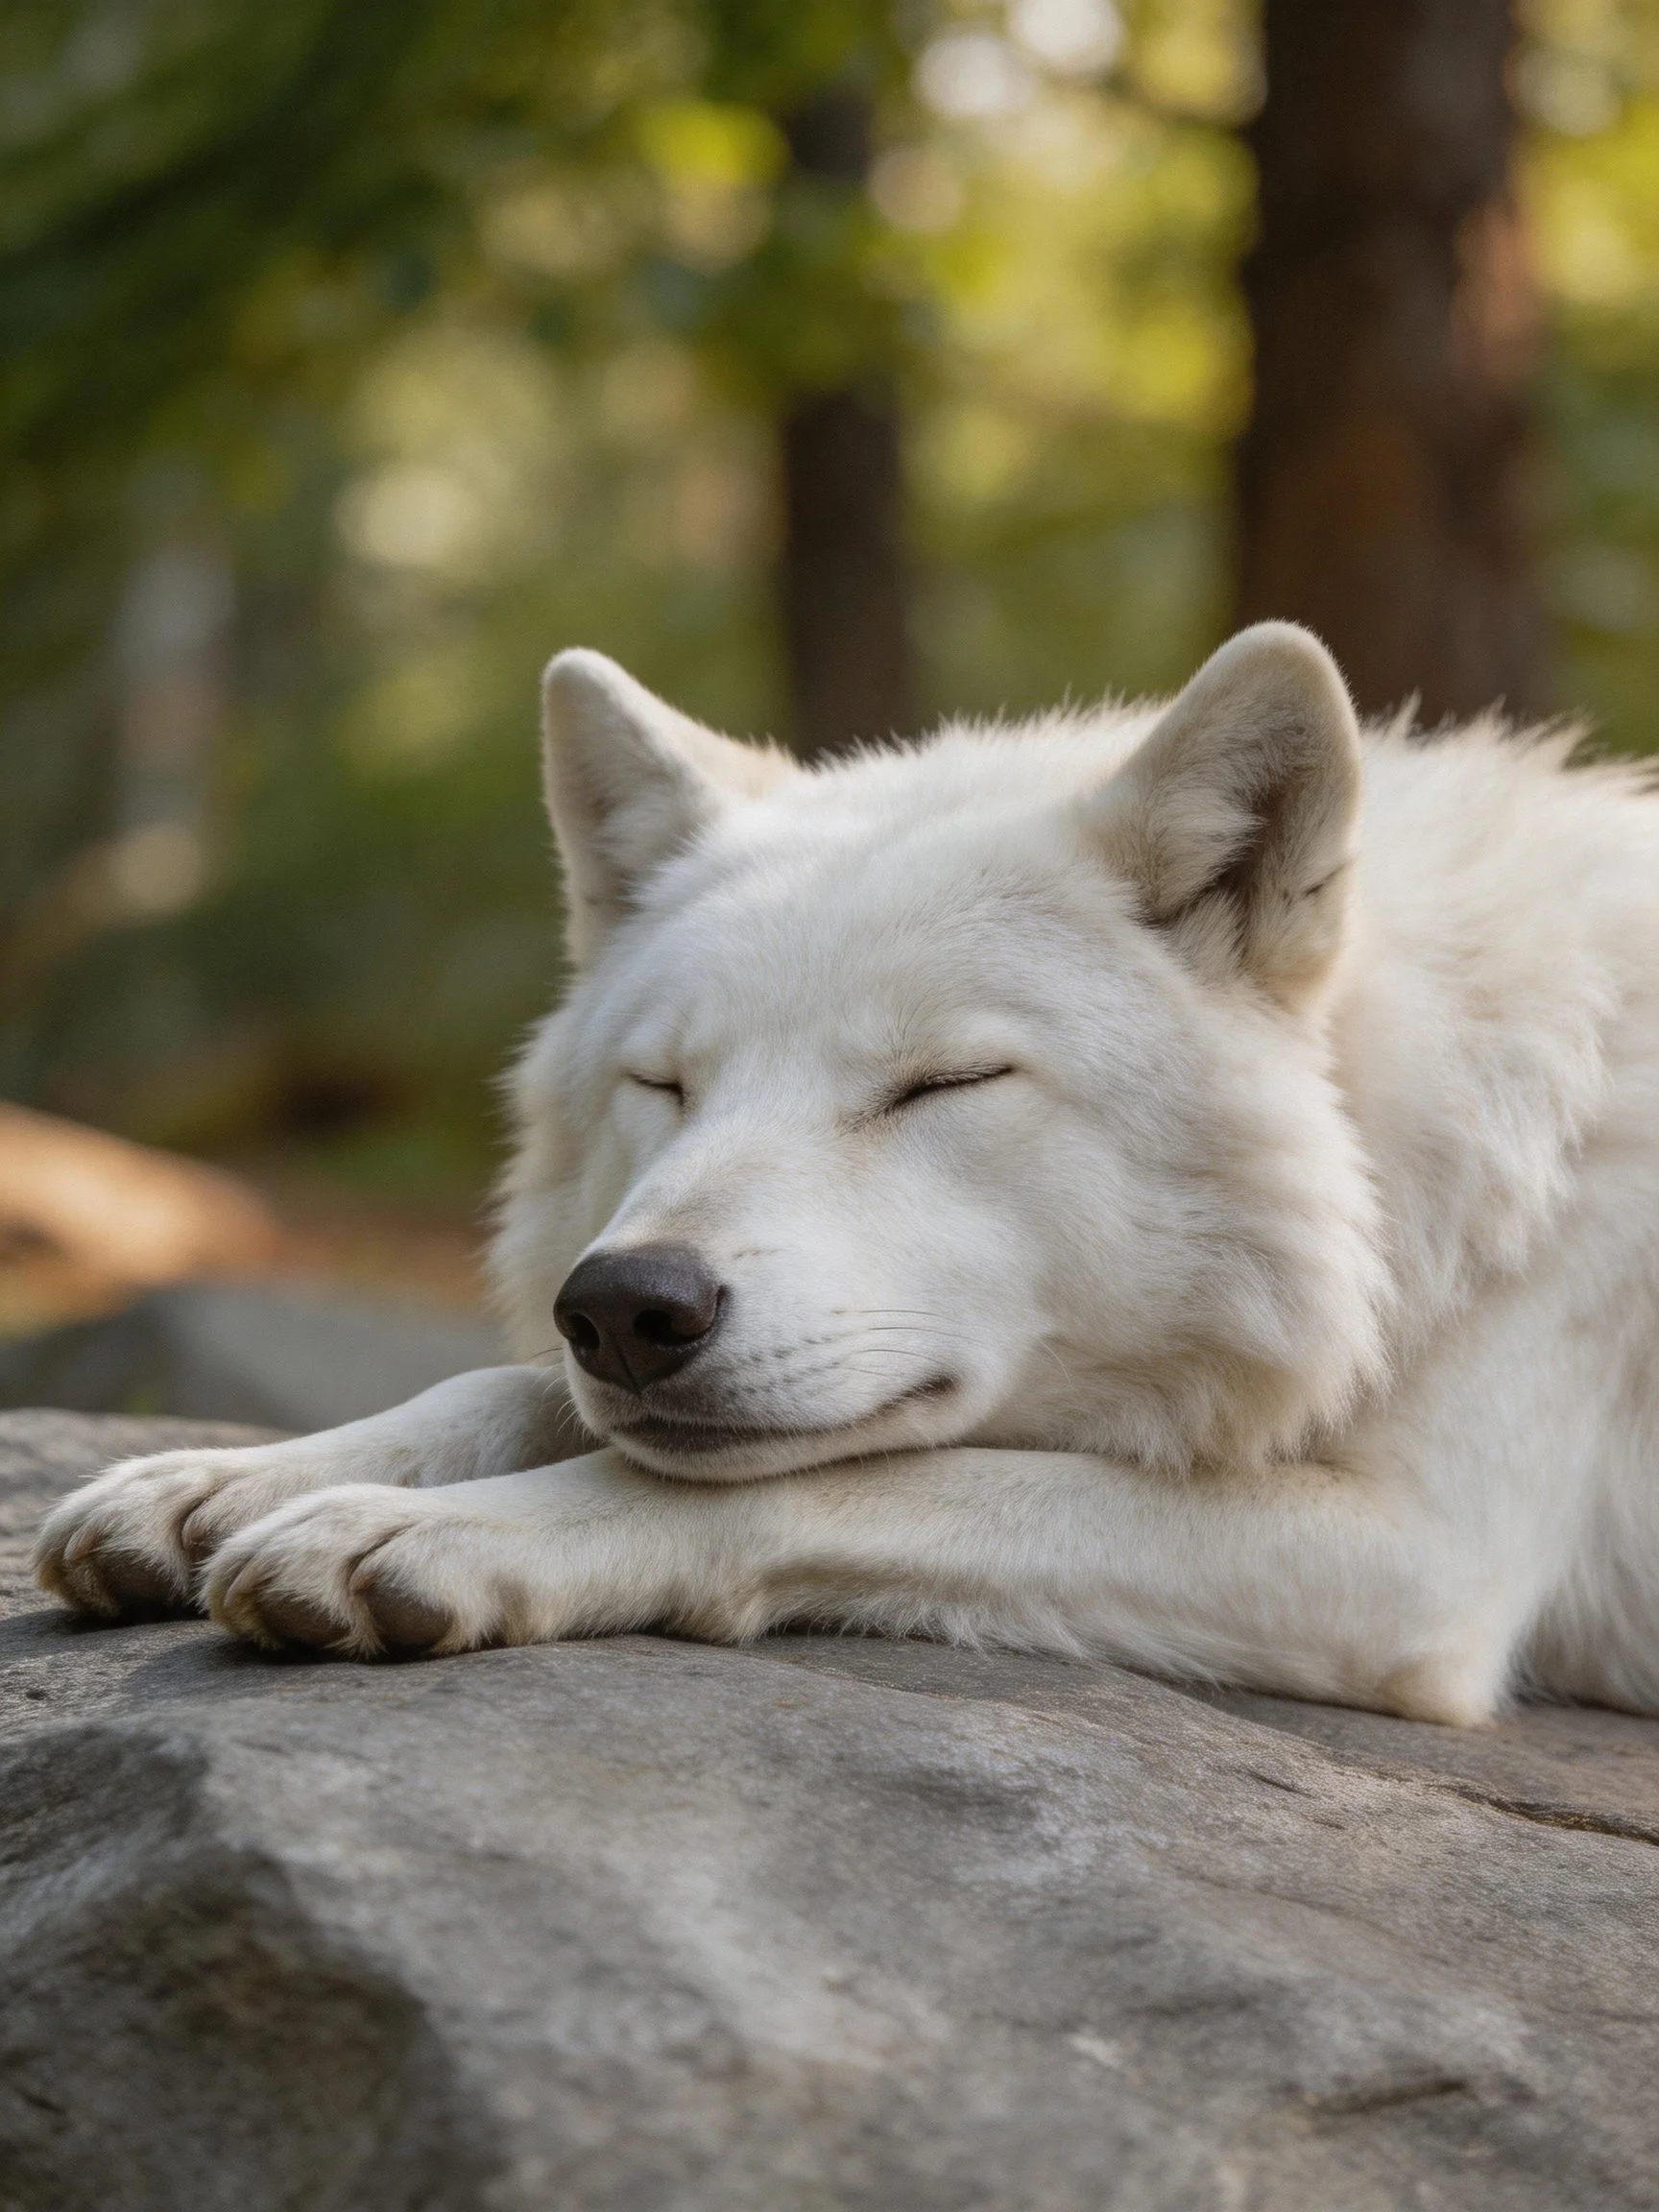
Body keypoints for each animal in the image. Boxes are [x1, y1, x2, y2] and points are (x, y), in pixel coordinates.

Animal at [34, 623, 1659, 1723]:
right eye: (666, 1086)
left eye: (938, 1085)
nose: (625, 1309)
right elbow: (501, 1388)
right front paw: (221, 1484)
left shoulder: (1418, 1558)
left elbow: (826, 1479)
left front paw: (436, 1530)